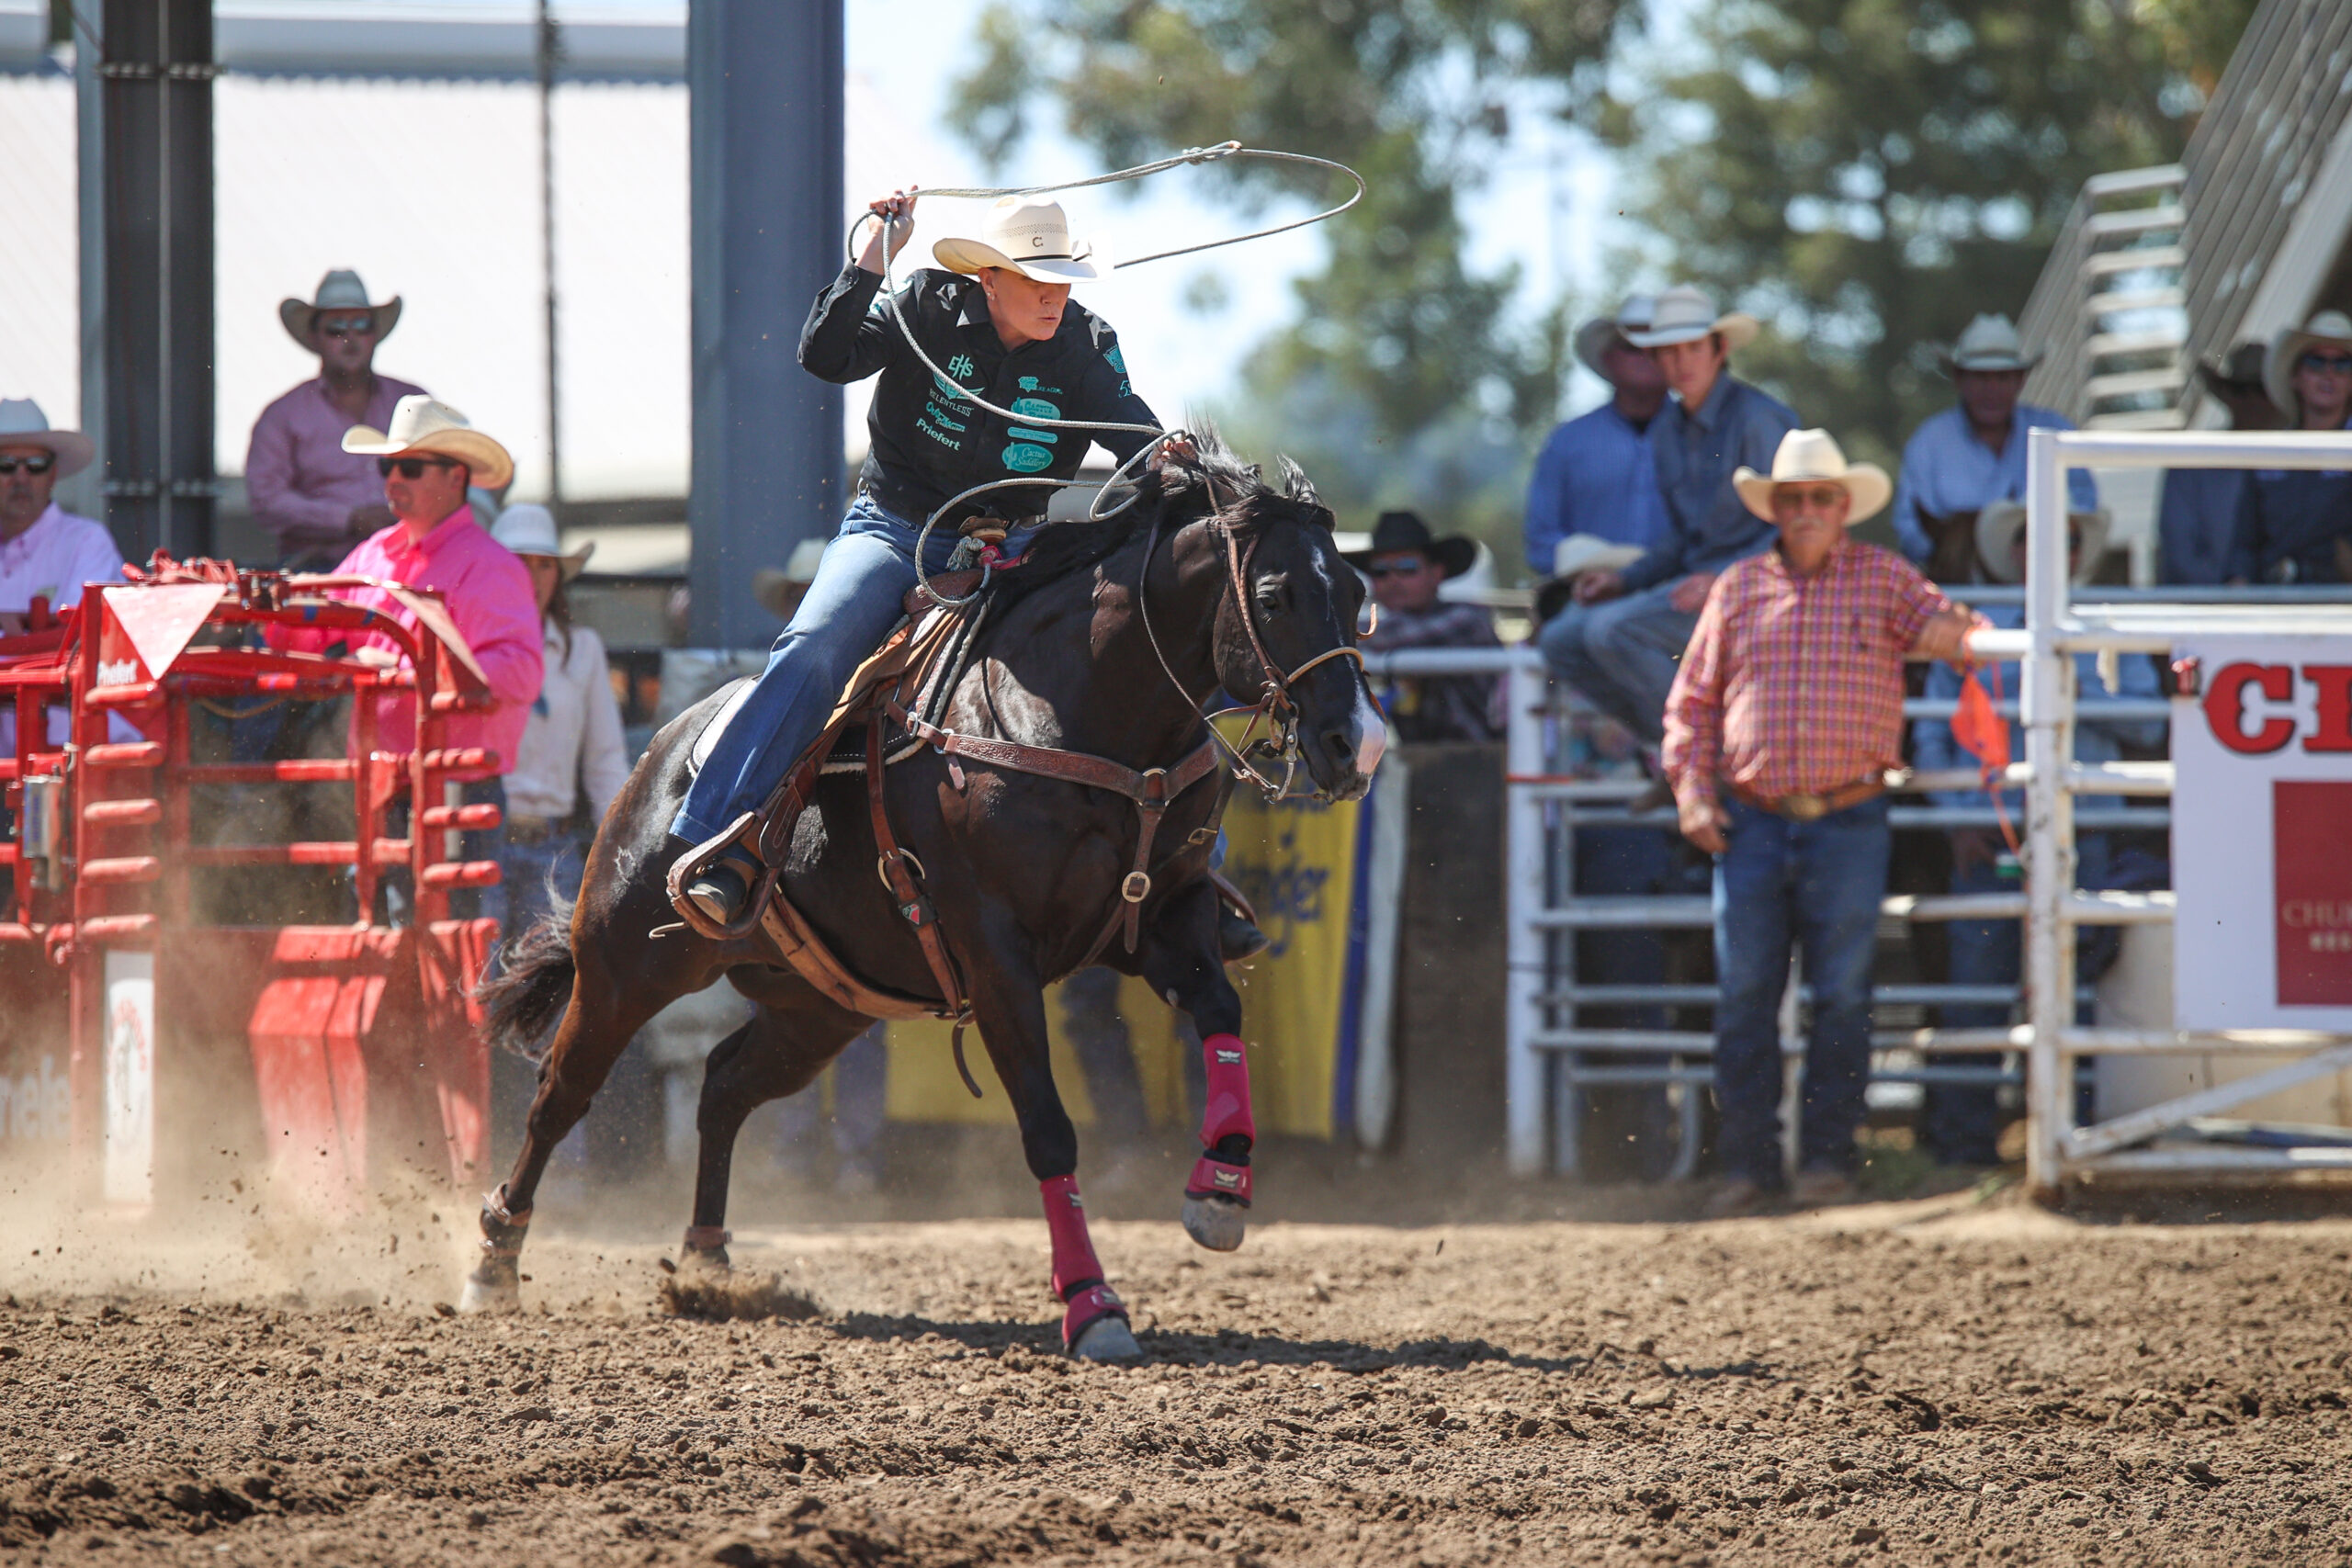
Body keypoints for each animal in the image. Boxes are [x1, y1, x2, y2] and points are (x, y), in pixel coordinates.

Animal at [460, 444, 1374, 1363]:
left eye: (1357, 596)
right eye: (1273, 596)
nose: (1355, 745)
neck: (1082, 717)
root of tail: (660, 754)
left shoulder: (1161, 915)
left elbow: (1221, 1011)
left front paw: (1220, 1188)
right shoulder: (998, 956)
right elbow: (1047, 1124)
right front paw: (1092, 1303)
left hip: (818, 1009)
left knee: (722, 1087)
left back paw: (707, 1267)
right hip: (625, 967)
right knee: (560, 1094)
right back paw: (493, 1263)